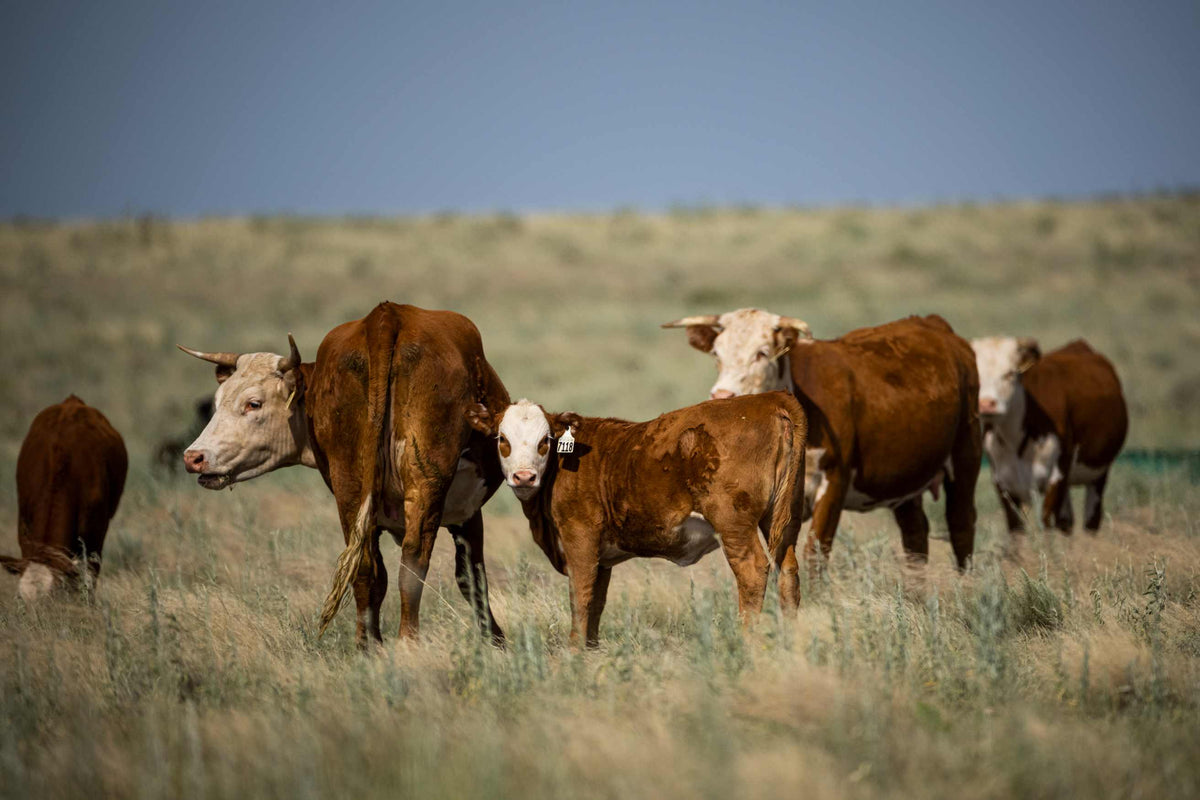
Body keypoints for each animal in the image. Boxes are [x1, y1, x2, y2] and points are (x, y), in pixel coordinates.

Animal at [1, 395, 128, 602]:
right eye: (21, 600)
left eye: (52, 598)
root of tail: (72, 401)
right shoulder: (24, 525)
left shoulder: (96, 533)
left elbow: (90, 575)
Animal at [179, 302, 510, 647]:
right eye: (217, 403)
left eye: (253, 403)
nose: (194, 457)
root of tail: (386, 317)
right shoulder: (467, 513)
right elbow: (471, 577)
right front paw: (495, 640)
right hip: (425, 481)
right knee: (412, 561)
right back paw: (408, 643)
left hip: (350, 484)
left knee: (367, 568)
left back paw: (370, 648)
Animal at [465, 393, 807, 648]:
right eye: (502, 439)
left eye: (544, 441)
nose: (524, 476)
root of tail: (768, 399)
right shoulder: (601, 556)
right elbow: (596, 601)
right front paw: (590, 648)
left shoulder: (579, 536)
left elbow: (580, 594)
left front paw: (573, 650)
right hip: (782, 518)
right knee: (788, 570)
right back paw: (791, 642)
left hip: (733, 523)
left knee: (752, 571)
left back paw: (746, 642)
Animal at [664, 309, 981, 571]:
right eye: (717, 354)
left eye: (762, 353)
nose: (721, 395)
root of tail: (933, 323)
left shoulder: (834, 482)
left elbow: (815, 553)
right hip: (905, 475)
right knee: (915, 537)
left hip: (966, 454)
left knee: (961, 525)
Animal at [970, 337, 1128, 534]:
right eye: (976, 375)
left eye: (1010, 374)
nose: (986, 404)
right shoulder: (1002, 480)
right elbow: (1016, 528)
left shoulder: (1056, 477)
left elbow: (1045, 523)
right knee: (1066, 521)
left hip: (1098, 473)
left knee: (1090, 519)